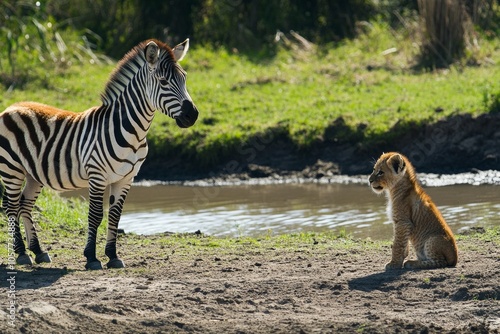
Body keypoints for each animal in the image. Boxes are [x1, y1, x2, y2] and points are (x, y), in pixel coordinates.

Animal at [0, 38, 199, 268]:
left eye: (184, 78)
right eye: (164, 81)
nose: (192, 115)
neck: (132, 131)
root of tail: (10, 107)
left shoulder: (126, 178)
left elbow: (115, 216)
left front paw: (113, 256)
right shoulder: (97, 175)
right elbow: (95, 215)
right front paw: (92, 258)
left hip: (33, 174)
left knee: (25, 205)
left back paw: (38, 251)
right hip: (12, 169)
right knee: (11, 207)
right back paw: (21, 253)